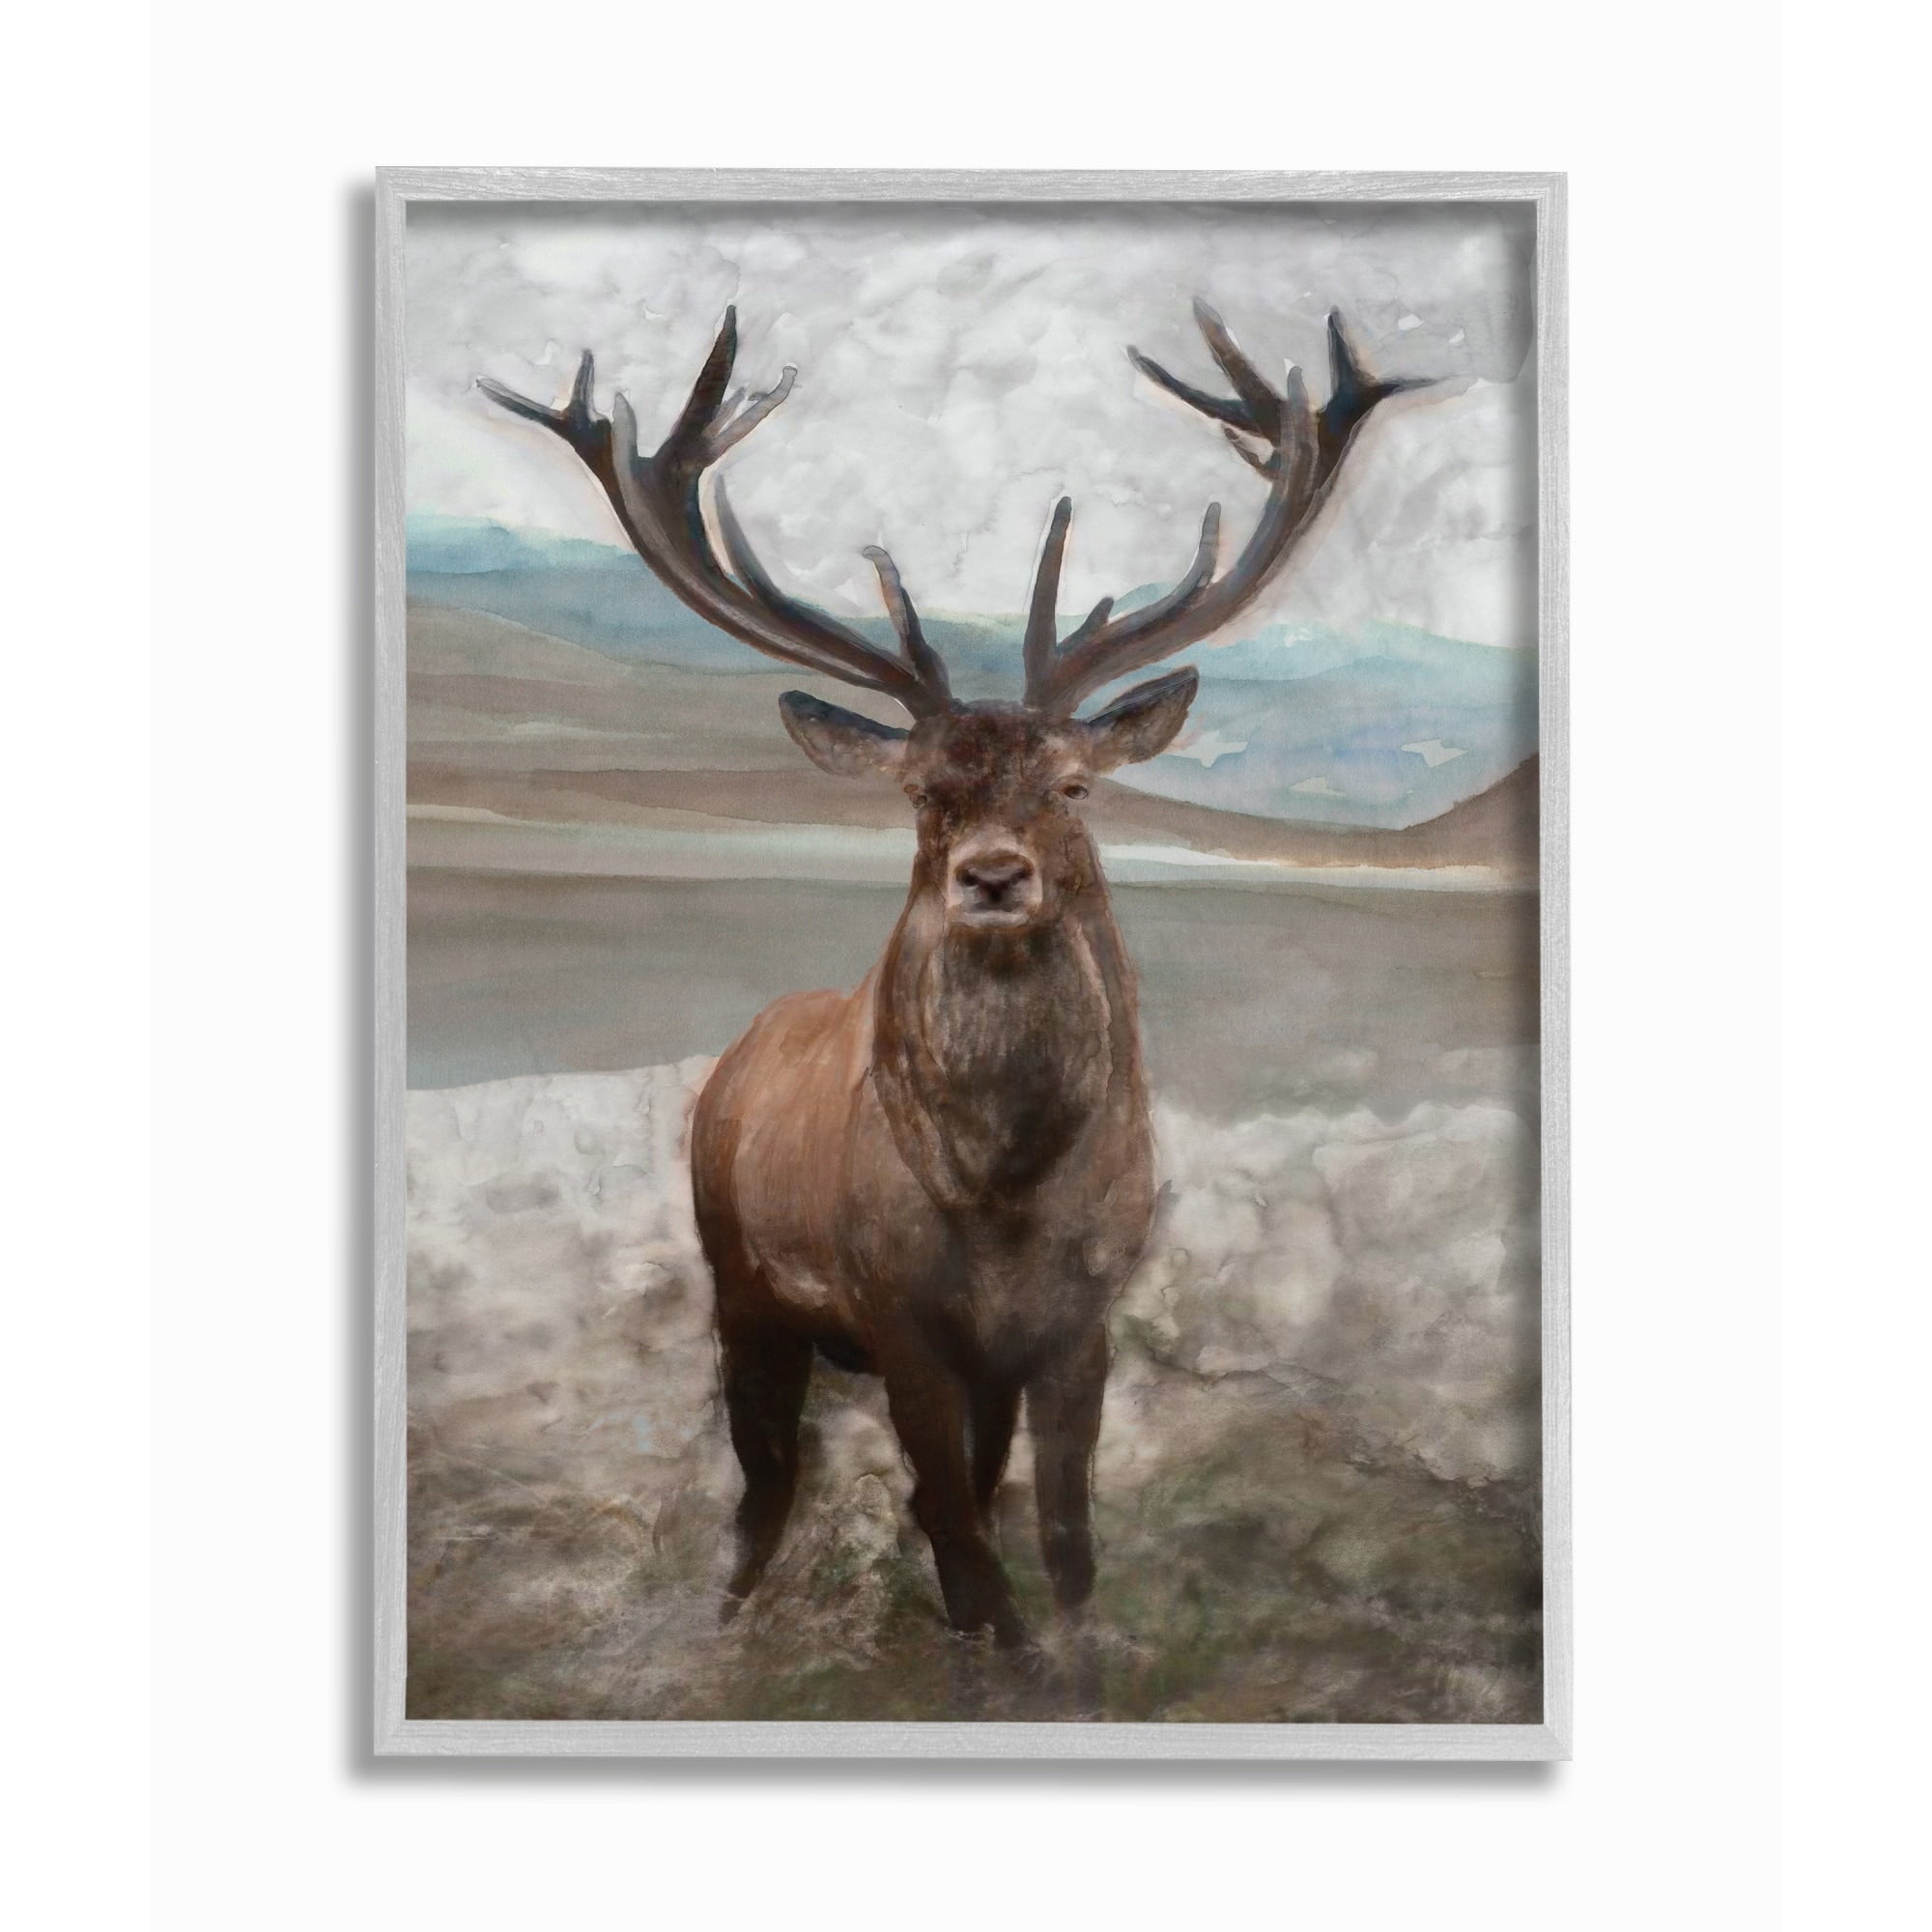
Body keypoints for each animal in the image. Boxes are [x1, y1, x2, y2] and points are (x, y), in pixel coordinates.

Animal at [481, 298, 1424, 1652]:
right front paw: (986, 1648)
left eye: (1073, 784)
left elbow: (1061, 1537)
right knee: (767, 1481)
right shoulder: (899, 1318)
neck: (1004, 1195)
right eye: (924, 792)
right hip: (740, 1281)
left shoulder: (1078, 1323)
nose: (990, 874)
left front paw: (1073, 1651)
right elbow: (968, 1558)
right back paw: (730, 1617)